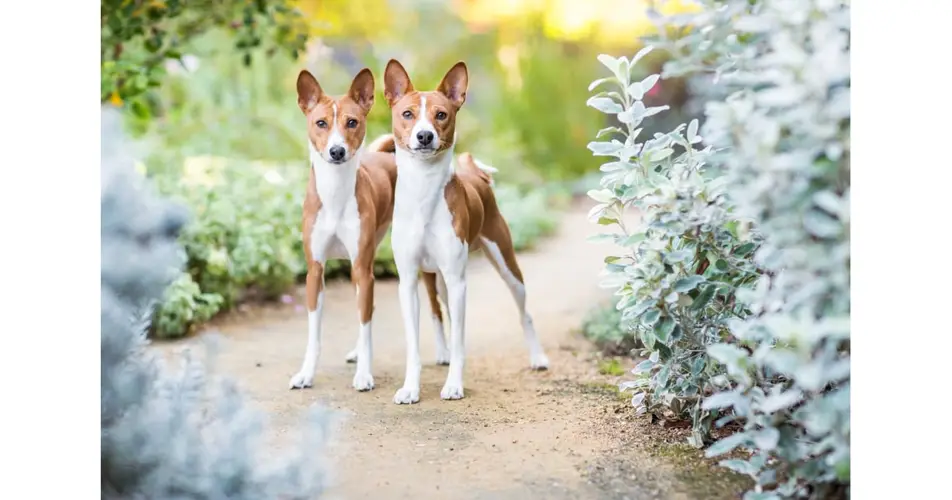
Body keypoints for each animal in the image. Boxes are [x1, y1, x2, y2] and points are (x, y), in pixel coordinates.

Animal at [288, 67, 396, 394]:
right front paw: (306, 374)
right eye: (321, 123)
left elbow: (366, 325)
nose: (337, 151)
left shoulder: (363, 268)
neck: (335, 194)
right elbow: (314, 334)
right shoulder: (315, 271)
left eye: (352, 122)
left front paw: (364, 375)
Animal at [382, 58, 552, 404]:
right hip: (439, 281)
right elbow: (413, 345)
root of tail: (476, 176)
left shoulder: (459, 282)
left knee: (524, 312)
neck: (424, 193)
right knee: (440, 313)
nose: (424, 136)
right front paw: (410, 388)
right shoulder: (408, 281)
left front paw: (453, 385)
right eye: (407, 114)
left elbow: (461, 341)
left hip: (505, 266)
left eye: (441, 114)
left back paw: (538, 357)